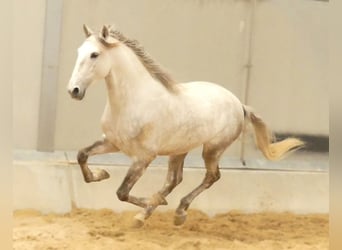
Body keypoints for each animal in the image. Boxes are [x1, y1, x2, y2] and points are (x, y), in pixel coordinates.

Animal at [67, 24, 304, 228]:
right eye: (78, 51)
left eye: (94, 54)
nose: (74, 91)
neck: (134, 101)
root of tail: (239, 104)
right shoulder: (112, 143)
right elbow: (82, 155)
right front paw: (102, 174)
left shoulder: (144, 157)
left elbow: (122, 192)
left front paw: (154, 203)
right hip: (179, 150)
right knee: (174, 180)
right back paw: (149, 213)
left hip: (212, 149)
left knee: (211, 176)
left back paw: (176, 212)